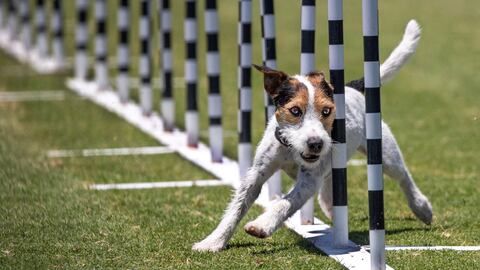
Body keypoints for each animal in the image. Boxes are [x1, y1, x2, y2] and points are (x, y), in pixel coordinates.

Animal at [193, 20, 434, 252]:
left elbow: (284, 203)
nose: (316, 144)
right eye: (295, 111)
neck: (291, 149)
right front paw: (212, 242)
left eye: (327, 111)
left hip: (385, 153)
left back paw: (422, 207)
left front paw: (262, 225)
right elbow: (236, 208)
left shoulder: (308, 180)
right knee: (330, 188)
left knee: (403, 176)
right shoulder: (256, 173)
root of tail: (353, 87)